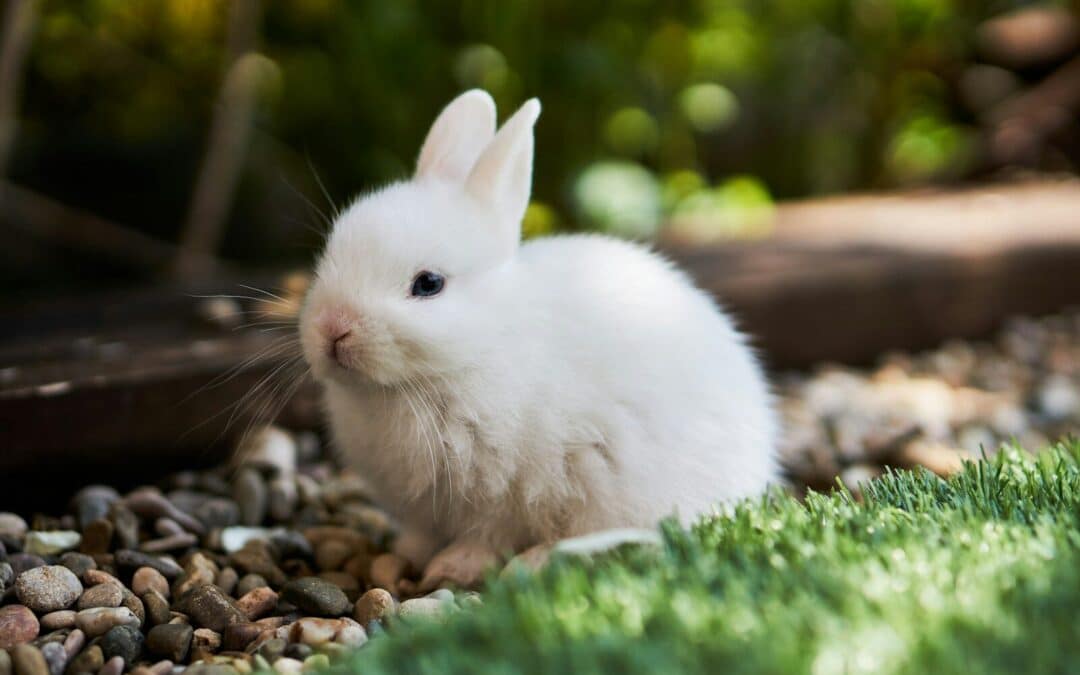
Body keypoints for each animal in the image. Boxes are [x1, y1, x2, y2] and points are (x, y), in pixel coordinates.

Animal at [299, 89, 778, 590]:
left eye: (428, 284)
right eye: (331, 253)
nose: (333, 328)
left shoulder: (504, 494)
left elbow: (487, 535)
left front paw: (452, 567)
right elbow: (420, 535)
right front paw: (403, 555)